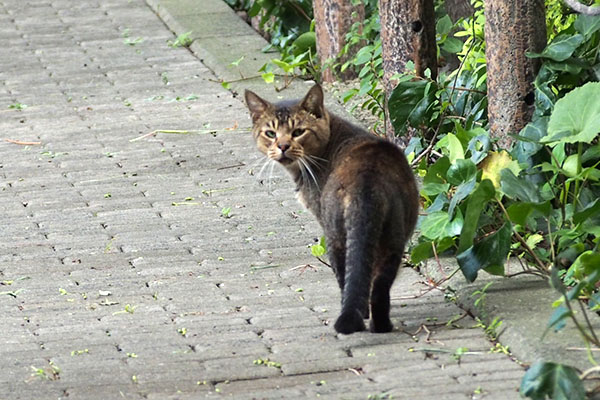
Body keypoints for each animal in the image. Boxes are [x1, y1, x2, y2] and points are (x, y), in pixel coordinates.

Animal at [244, 84, 418, 334]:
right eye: (270, 133)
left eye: (298, 132)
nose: (283, 146)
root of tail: (366, 181)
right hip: (392, 239)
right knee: (378, 287)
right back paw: (380, 326)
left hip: (337, 237)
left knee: (348, 279)